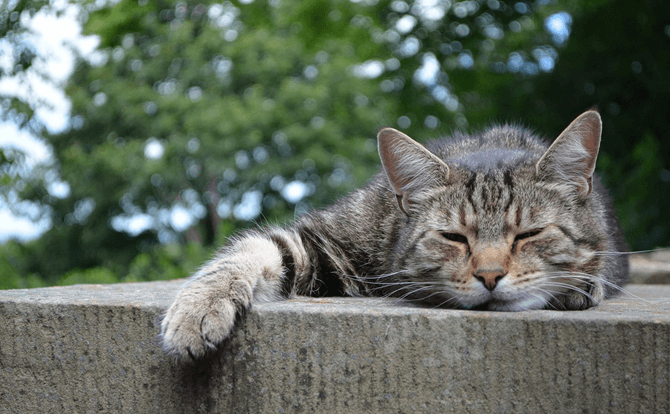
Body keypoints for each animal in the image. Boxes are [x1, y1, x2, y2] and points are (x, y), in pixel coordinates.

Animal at [161, 110, 632, 360]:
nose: (490, 276)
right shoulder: (322, 241)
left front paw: (578, 284)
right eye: (453, 237)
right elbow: (255, 247)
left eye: (529, 234)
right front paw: (198, 306)